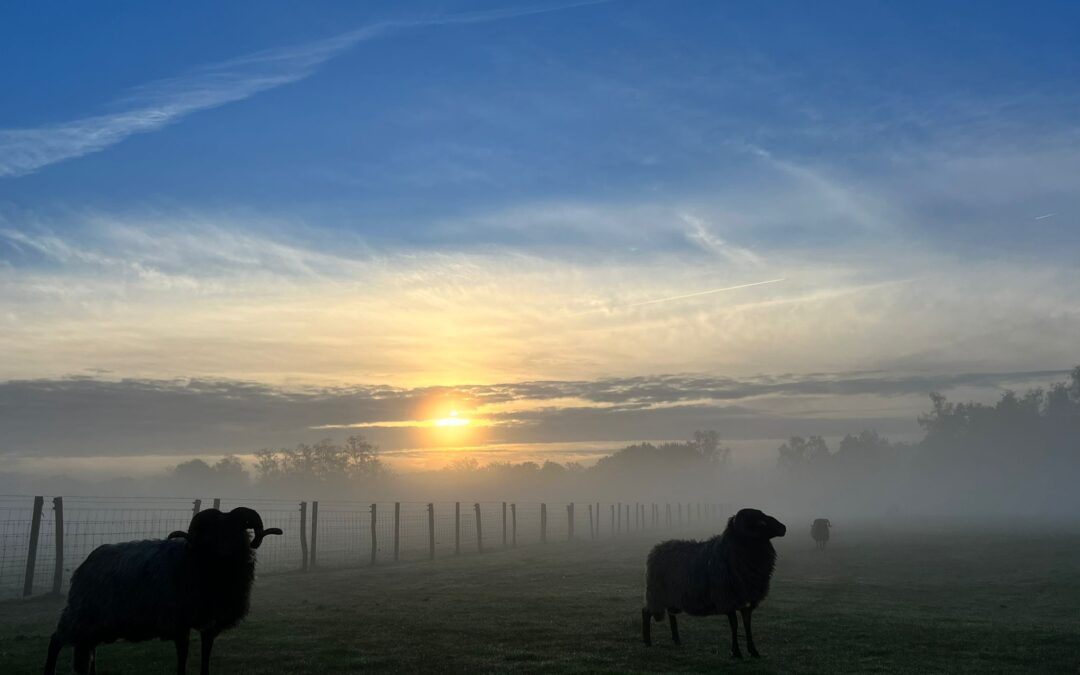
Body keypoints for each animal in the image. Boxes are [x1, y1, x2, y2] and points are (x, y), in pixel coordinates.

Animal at [45, 505, 282, 673]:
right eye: (213, 532)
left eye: (238, 529)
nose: (225, 551)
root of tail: (85, 564)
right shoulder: (179, 622)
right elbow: (183, 656)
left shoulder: (210, 624)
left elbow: (206, 655)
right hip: (80, 614)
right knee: (55, 641)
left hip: (98, 623)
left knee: (90, 649)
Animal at [639, 507, 786, 656]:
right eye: (761, 522)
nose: (783, 528)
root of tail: (657, 548)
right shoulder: (728, 599)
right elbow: (734, 625)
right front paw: (736, 652)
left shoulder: (746, 601)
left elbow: (747, 625)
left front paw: (753, 651)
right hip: (656, 593)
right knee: (646, 612)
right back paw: (647, 642)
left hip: (672, 596)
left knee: (671, 614)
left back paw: (677, 640)